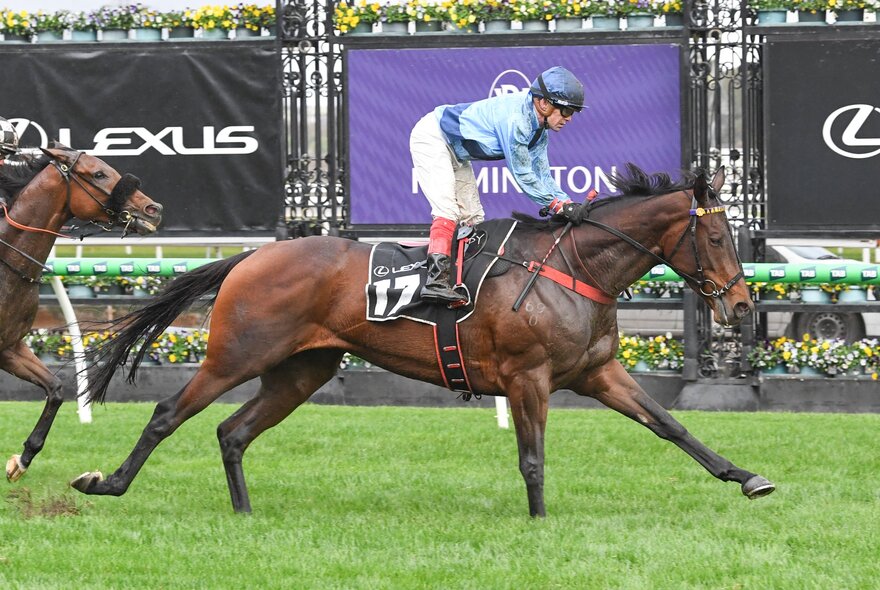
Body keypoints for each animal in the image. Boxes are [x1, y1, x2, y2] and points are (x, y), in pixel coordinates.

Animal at [70, 163, 774, 516]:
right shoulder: (528, 377)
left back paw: (245, 513)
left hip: (302, 370)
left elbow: (671, 425)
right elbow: (533, 457)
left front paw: (746, 477)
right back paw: (106, 483)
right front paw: (540, 521)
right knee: (169, 413)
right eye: (716, 236)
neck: (574, 267)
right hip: (236, 353)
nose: (742, 304)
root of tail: (251, 256)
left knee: (232, 431)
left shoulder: (598, 373)